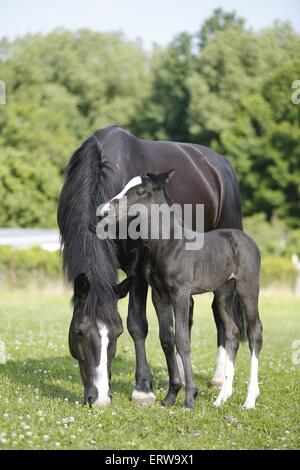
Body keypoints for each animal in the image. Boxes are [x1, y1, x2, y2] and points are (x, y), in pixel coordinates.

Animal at [57, 126, 243, 408]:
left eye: (117, 333)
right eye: (79, 332)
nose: (99, 398)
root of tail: (221, 166)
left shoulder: (137, 267)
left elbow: (138, 324)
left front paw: (143, 389)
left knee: (221, 313)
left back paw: (219, 377)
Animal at [101, 171, 262, 410]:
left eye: (140, 191)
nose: (104, 210)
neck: (168, 244)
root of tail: (248, 240)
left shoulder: (181, 294)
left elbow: (183, 341)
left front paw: (189, 398)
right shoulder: (159, 296)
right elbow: (167, 339)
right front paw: (171, 396)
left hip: (247, 289)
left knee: (254, 333)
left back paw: (250, 399)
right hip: (223, 294)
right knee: (233, 333)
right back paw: (221, 398)